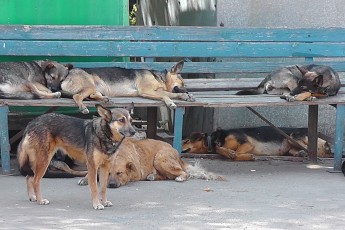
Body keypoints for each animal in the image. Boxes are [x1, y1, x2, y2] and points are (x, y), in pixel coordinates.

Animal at [60, 59, 195, 113]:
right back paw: (83, 107)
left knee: (92, 95)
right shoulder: (146, 90)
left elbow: (168, 93)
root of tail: (67, 74)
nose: (188, 91)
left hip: (95, 88)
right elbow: (166, 95)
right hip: (89, 86)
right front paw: (171, 102)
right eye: (182, 83)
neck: (160, 78)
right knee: (77, 96)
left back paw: (105, 99)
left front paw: (185, 96)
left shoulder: (153, 91)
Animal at [77, 137, 224, 188]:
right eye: (108, 174)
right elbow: (91, 173)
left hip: (160, 158)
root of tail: (176, 152)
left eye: (119, 173)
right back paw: (153, 176)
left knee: (183, 173)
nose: (112, 185)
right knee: (165, 176)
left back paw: (180, 178)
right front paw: (85, 178)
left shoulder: (136, 173)